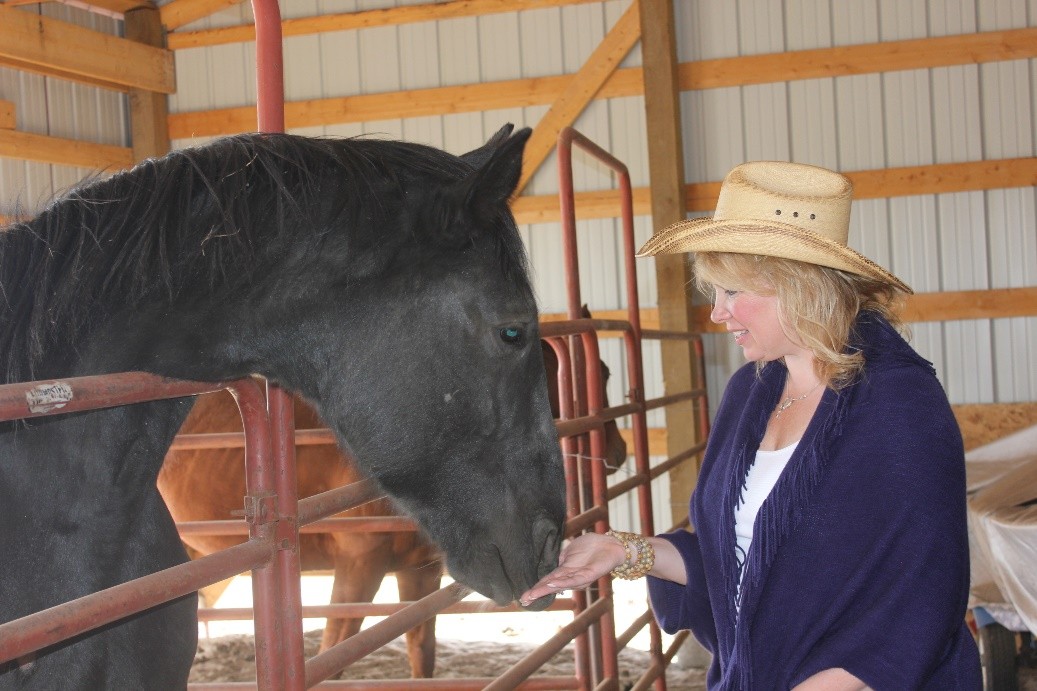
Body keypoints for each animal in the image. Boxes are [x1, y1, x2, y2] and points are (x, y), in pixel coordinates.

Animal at [154, 336, 622, 676]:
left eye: (605, 371)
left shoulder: (419, 573)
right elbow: (335, 653)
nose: (615, 449)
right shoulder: (358, 569)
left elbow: (422, 651)